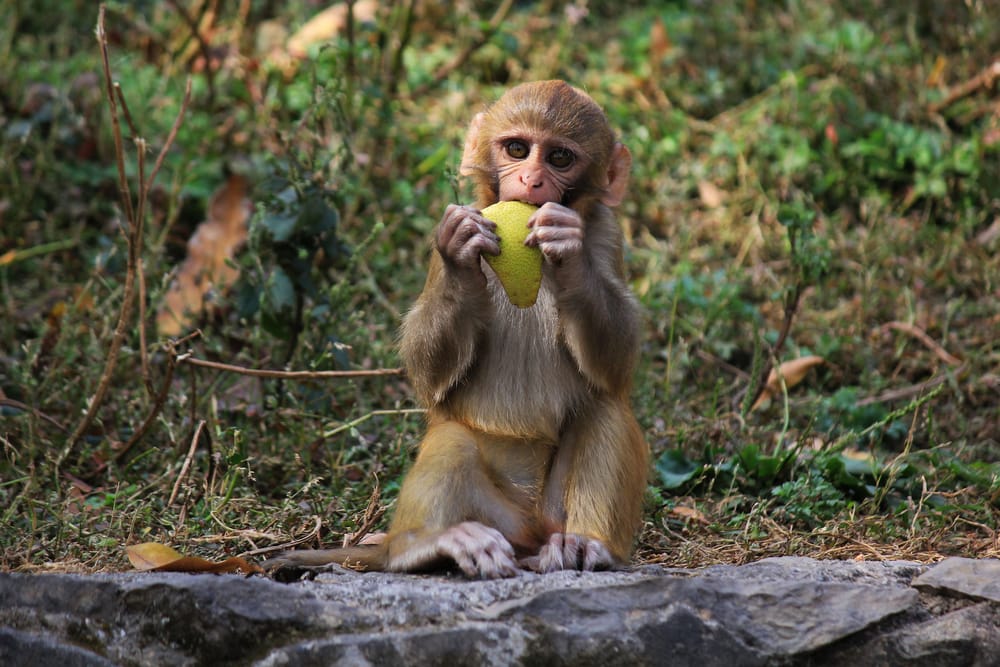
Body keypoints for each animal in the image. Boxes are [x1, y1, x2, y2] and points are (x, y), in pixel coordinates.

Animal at [265, 80, 648, 579]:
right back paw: (426, 546)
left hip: (546, 518)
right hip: (497, 518)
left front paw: (570, 253)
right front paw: (460, 256)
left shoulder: (607, 232)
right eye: (517, 149)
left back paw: (583, 543)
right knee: (453, 440)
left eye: (560, 158)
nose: (531, 180)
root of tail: (527, 533)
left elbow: (615, 367)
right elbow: (429, 378)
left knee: (605, 410)